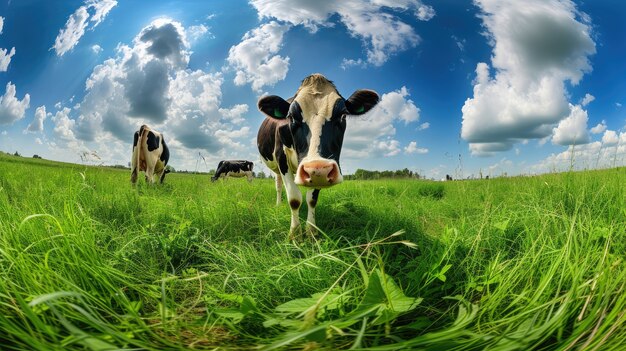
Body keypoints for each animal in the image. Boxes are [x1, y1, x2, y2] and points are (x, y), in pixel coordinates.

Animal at [255, 74, 380, 239]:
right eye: (291, 117)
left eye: (343, 115)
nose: (319, 168)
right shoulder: (281, 157)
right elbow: (294, 198)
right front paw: (295, 234)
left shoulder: (316, 175)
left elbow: (311, 200)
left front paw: (311, 231)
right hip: (277, 167)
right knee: (279, 186)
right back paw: (278, 204)